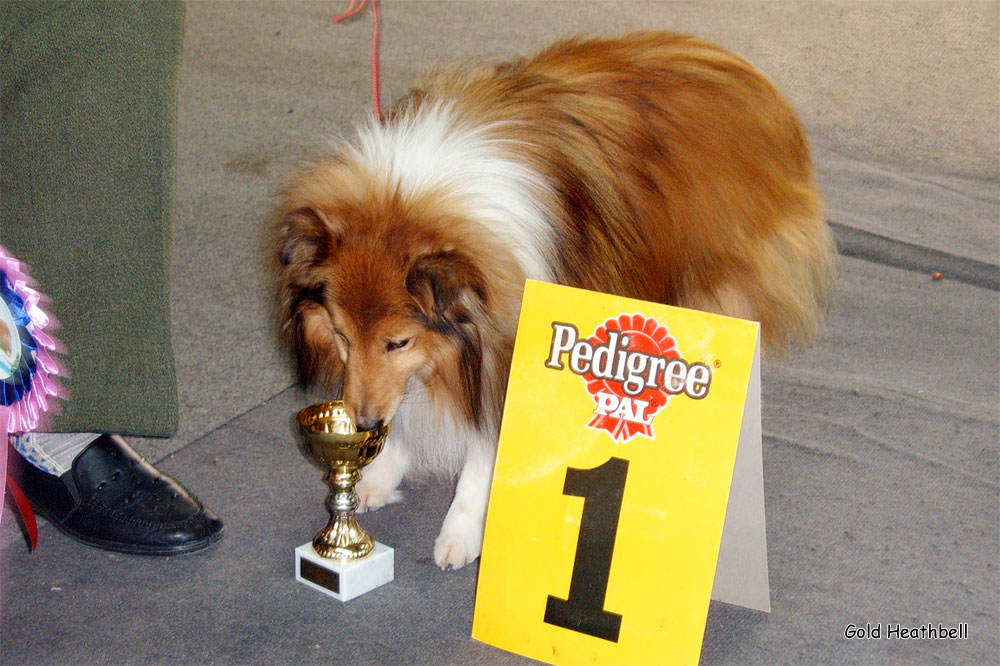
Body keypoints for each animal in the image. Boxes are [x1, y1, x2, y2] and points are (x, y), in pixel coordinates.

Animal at [274, 33, 836, 568]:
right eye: (342, 336)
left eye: (398, 342)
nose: (364, 425)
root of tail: (743, 70)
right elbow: (406, 405)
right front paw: (378, 477)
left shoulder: (506, 352)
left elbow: (481, 453)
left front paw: (460, 532)